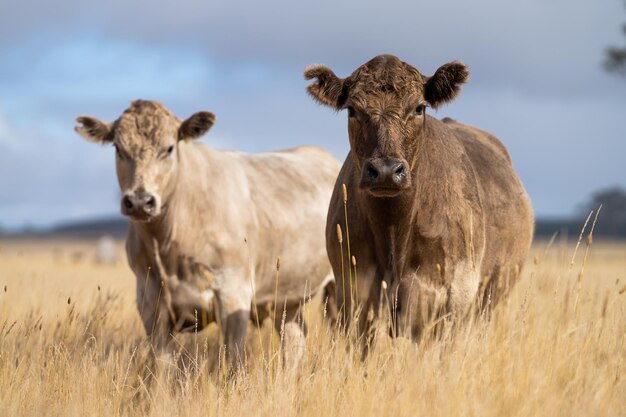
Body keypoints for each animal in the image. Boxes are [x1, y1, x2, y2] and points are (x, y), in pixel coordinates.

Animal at [75, 101, 338, 370]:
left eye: (169, 148)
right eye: (118, 148)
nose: (140, 201)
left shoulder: (234, 295)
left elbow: (234, 361)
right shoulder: (151, 303)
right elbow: (161, 367)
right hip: (286, 298)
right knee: (295, 339)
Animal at [302, 54, 532, 348]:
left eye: (419, 108)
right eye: (352, 110)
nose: (386, 170)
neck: (393, 235)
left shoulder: (451, 298)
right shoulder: (353, 295)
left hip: (489, 296)